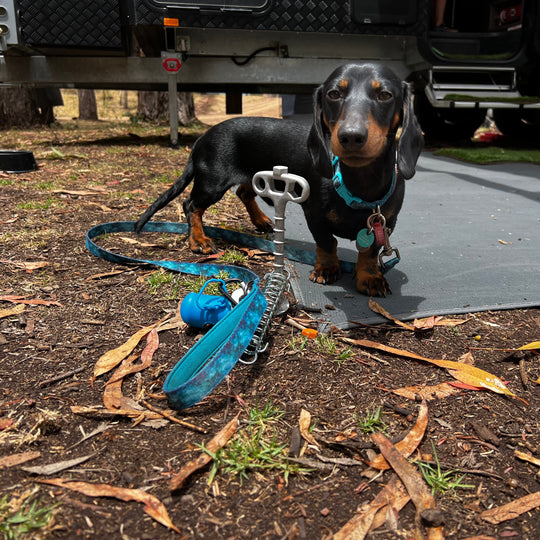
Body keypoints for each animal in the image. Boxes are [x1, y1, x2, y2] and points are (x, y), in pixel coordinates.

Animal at [134, 66, 422, 300]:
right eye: (333, 94)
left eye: (385, 95)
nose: (351, 136)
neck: (358, 183)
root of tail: (201, 138)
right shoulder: (314, 214)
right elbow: (327, 242)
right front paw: (327, 268)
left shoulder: (385, 221)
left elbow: (371, 251)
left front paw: (370, 277)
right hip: (212, 183)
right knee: (191, 205)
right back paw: (199, 241)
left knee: (243, 193)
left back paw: (260, 221)